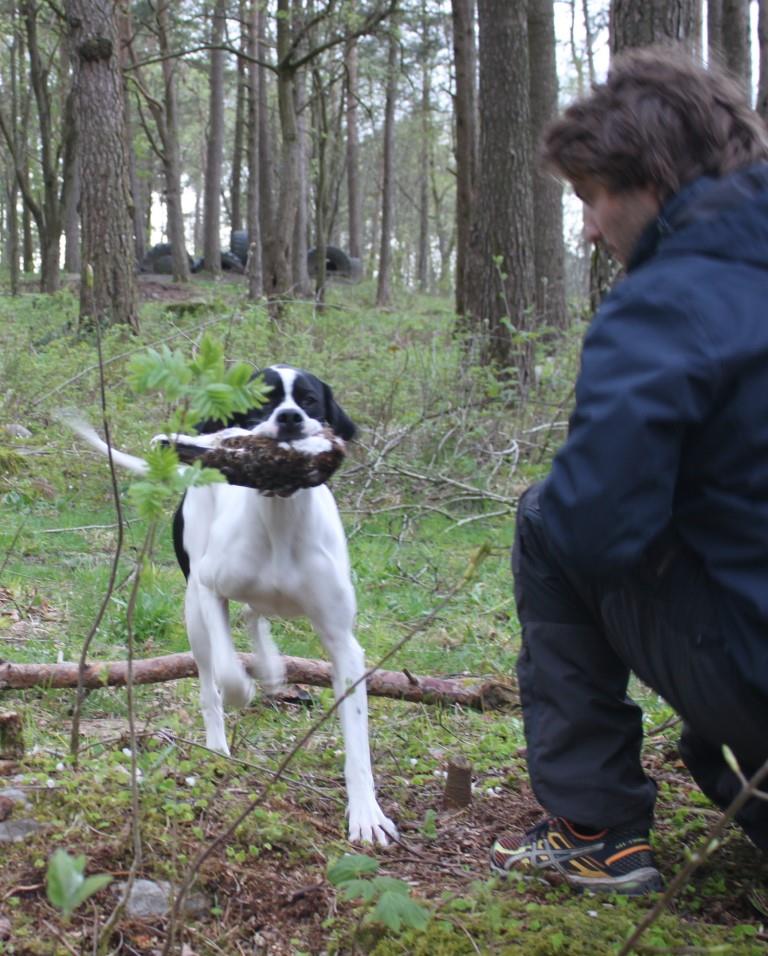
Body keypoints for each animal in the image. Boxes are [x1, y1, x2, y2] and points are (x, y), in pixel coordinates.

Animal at [67, 366, 396, 844]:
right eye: (262, 401)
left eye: (310, 400)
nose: (290, 418)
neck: (280, 516)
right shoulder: (209, 588)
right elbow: (227, 670)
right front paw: (244, 689)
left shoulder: (344, 644)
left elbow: (356, 738)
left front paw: (367, 814)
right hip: (193, 613)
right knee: (211, 678)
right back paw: (219, 745)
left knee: (254, 614)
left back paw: (273, 667)